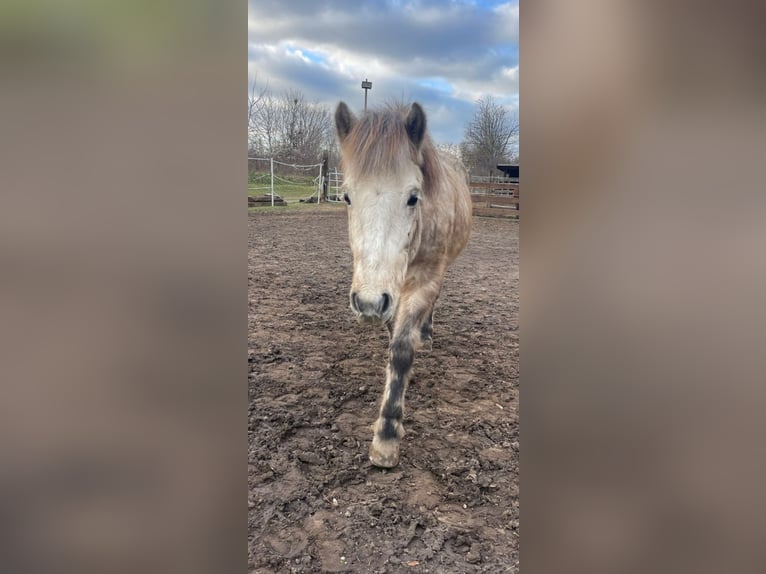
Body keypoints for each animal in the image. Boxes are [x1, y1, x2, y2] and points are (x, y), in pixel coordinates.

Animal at [336, 100, 474, 468]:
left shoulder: (423, 282)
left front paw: (386, 435)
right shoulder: (390, 295)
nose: (368, 303)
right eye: (346, 197)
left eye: (413, 198)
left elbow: (401, 351)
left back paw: (425, 335)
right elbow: (392, 336)